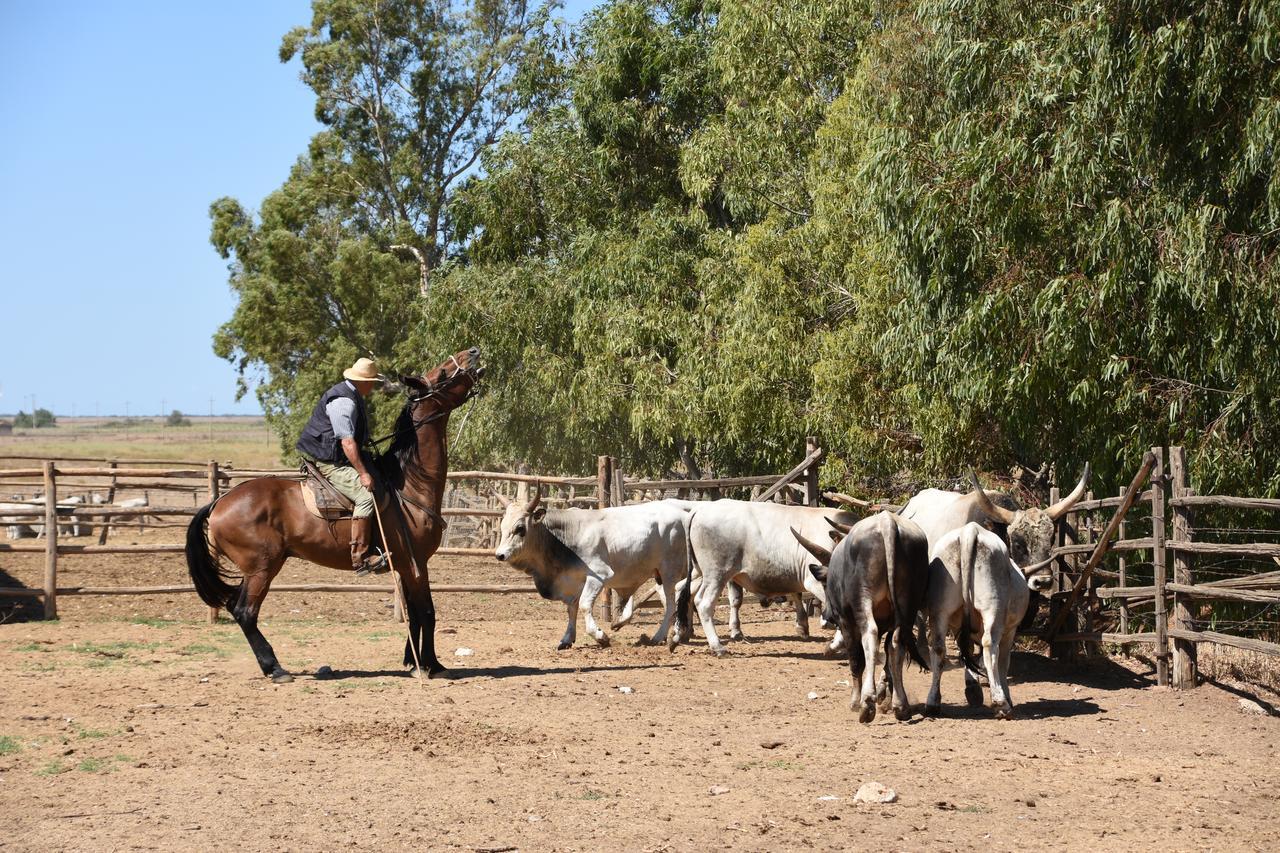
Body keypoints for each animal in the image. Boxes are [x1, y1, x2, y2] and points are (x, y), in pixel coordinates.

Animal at [181, 343, 481, 676]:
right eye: (442, 372)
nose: (474, 351)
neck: (408, 484)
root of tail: (218, 503)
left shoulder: (407, 565)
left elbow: (415, 613)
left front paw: (415, 661)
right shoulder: (415, 563)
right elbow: (427, 611)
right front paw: (430, 664)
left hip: (259, 568)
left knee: (238, 608)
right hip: (262, 568)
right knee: (245, 611)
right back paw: (276, 669)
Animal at [494, 489, 696, 648]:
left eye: (520, 528)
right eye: (502, 527)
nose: (500, 555)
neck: (564, 537)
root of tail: (683, 514)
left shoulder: (598, 575)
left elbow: (584, 605)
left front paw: (601, 636)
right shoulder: (573, 581)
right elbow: (572, 608)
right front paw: (567, 639)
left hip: (671, 572)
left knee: (672, 604)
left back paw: (660, 637)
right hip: (660, 575)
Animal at [926, 522, 1054, 712]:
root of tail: (969, 531)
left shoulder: (958, 627)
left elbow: (968, 652)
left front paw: (973, 688)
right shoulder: (1010, 631)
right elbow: (1002, 663)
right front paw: (1006, 697)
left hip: (940, 610)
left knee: (938, 648)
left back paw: (933, 702)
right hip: (992, 609)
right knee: (990, 648)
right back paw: (1000, 703)